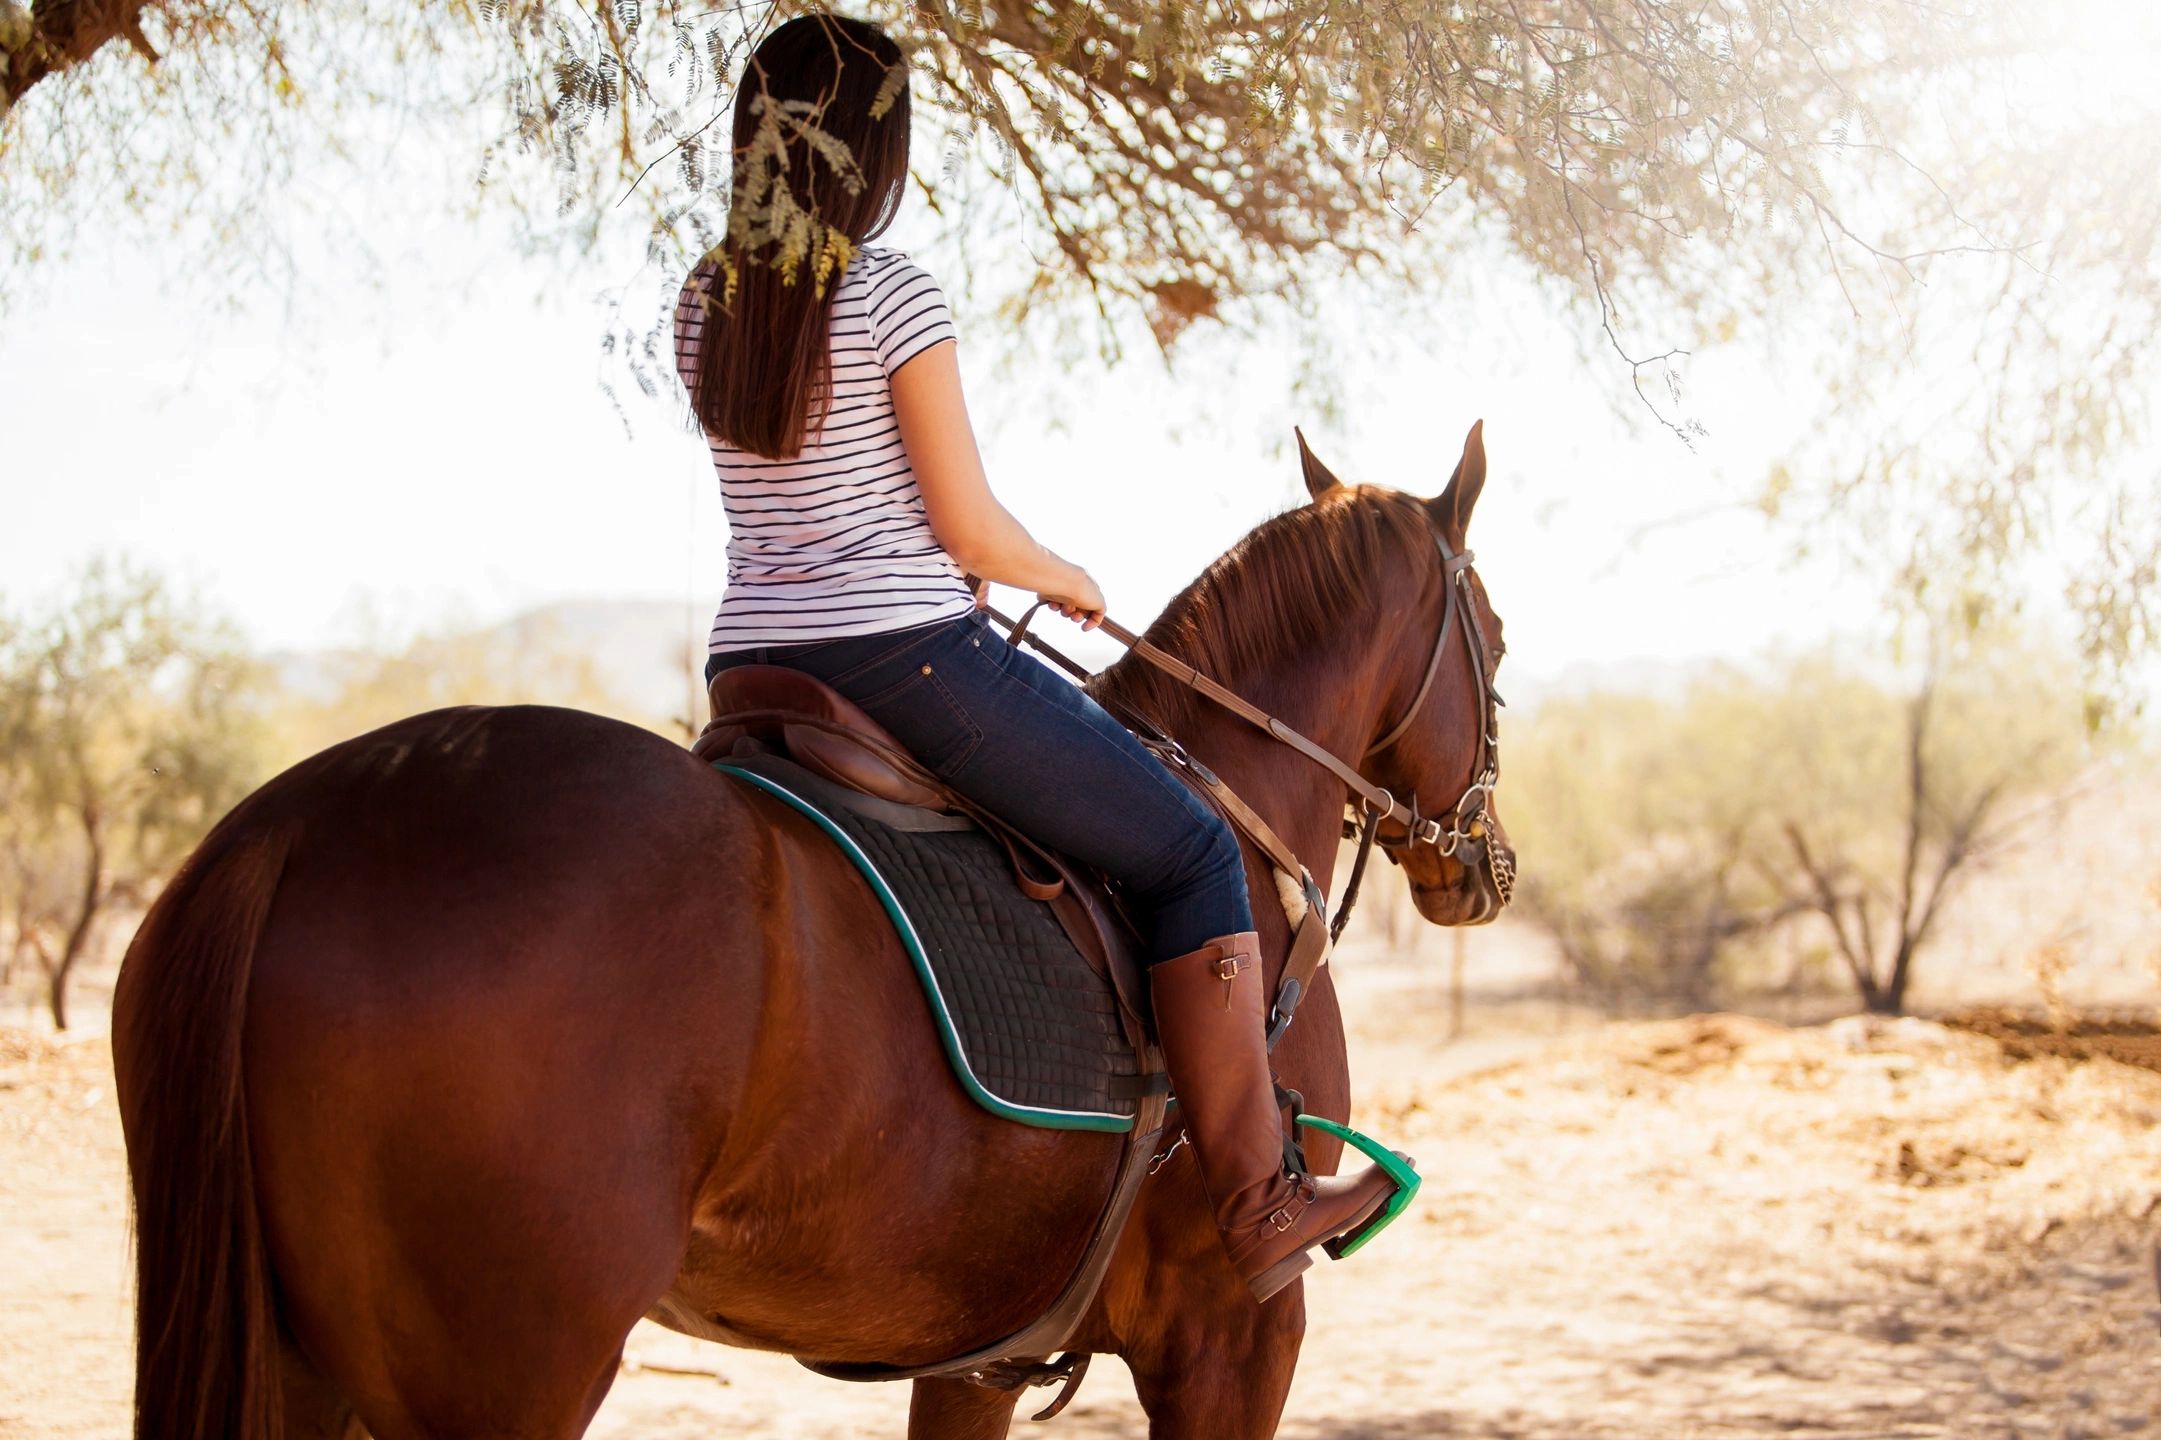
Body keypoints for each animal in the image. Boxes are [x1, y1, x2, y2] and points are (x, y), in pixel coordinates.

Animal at [109, 425, 1512, 1435]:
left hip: (301, 1358)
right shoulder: (1233, 1336)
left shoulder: (973, 1362)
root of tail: (303, 822)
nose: (1483, 868)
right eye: (1496, 642)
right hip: (501, 1370)